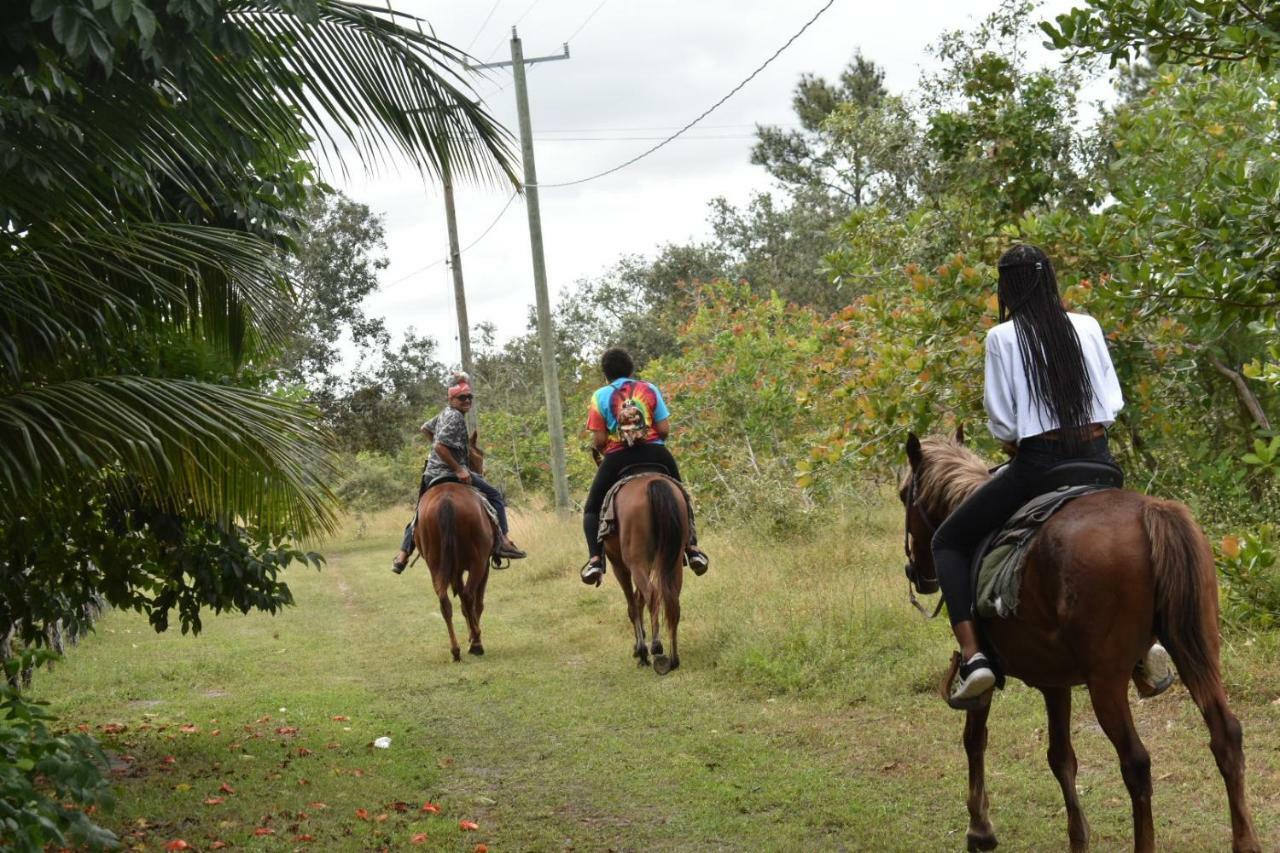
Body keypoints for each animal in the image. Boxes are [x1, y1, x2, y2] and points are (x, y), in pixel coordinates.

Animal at [419, 427, 499, 660]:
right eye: (478, 455)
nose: (480, 473)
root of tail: (446, 500)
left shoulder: (454, 570)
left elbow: (462, 604)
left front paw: (470, 636)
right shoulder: (484, 565)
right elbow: (476, 603)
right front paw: (474, 637)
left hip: (436, 563)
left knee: (445, 601)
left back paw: (455, 650)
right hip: (478, 562)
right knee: (470, 596)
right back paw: (477, 643)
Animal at [601, 471, 691, 671]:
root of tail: (653, 483)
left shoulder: (619, 567)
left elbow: (633, 605)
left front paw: (641, 649)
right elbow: (638, 599)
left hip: (636, 563)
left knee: (652, 594)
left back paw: (656, 646)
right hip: (673, 561)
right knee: (672, 600)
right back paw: (673, 658)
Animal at [901, 432, 1259, 850]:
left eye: (904, 494)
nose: (916, 572)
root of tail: (1151, 511)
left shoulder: (989, 676)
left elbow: (975, 738)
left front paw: (981, 830)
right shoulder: (1054, 681)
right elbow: (1061, 757)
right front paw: (1078, 838)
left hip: (1107, 681)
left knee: (1136, 763)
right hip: (1197, 650)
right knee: (1226, 736)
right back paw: (1246, 841)